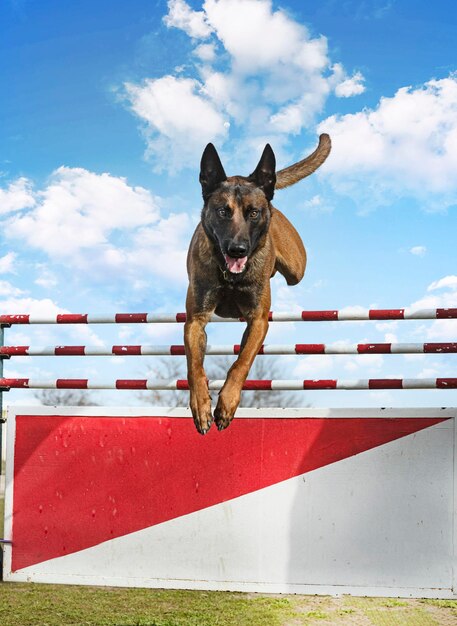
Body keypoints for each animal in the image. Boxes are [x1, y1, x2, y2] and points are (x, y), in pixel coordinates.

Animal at [183, 133, 330, 432]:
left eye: (253, 213)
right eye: (222, 212)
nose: (238, 249)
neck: (230, 276)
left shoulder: (258, 320)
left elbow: (242, 362)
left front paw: (226, 403)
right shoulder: (195, 320)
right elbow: (195, 366)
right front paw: (201, 405)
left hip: (297, 268)